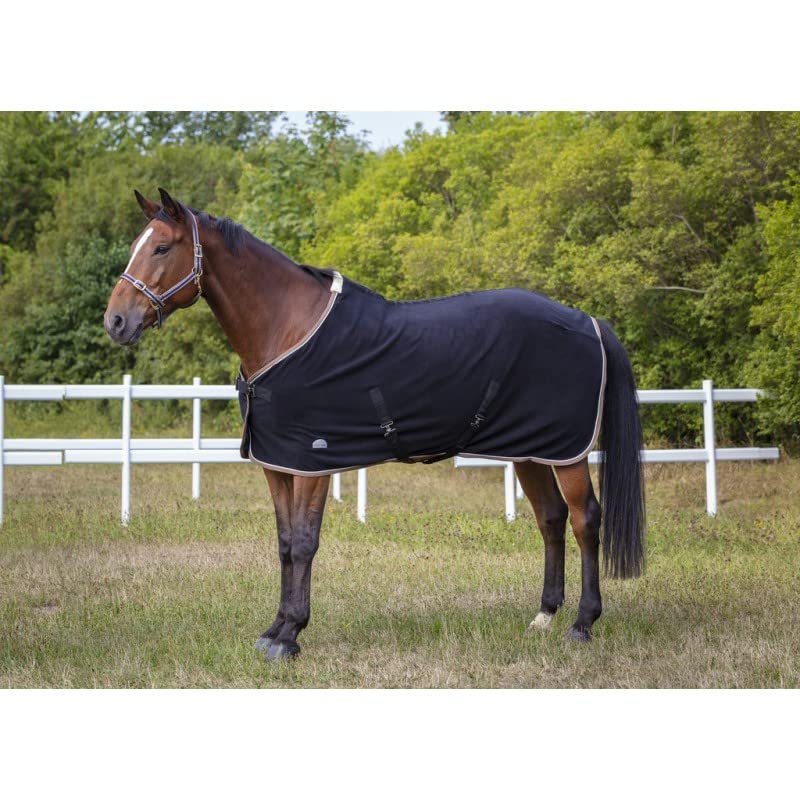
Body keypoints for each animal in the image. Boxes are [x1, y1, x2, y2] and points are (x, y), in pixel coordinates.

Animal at [104, 188, 645, 662]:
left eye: (162, 247)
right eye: (136, 246)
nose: (115, 321)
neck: (287, 329)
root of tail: (587, 320)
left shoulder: (312, 463)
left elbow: (305, 543)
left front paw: (291, 636)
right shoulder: (277, 464)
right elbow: (284, 545)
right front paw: (273, 630)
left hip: (567, 452)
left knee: (584, 519)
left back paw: (582, 624)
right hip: (530, 449)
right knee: (550, 518)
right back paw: (543, 617)